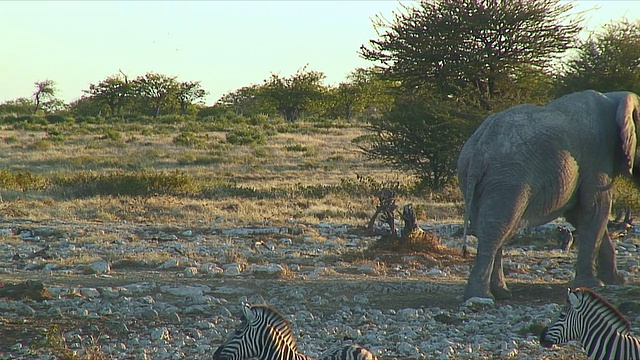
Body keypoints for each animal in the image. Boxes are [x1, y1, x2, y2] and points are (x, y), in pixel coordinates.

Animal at [458, 90, 636, 300]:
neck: (614, 97)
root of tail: (479, 149)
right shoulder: (598, 155)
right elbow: (595, 209)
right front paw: (593, 285)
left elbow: (579, 214)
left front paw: (616, 282)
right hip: (509, 177)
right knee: (496, 227)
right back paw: (482, 296)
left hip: (476, 177)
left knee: (491, 226)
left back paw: (501, 293)